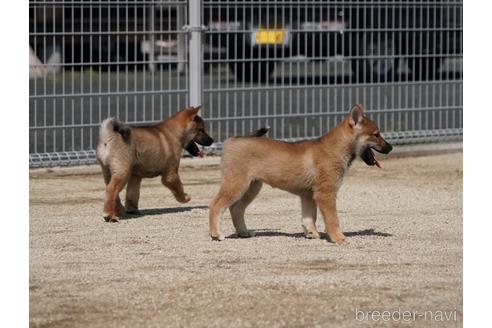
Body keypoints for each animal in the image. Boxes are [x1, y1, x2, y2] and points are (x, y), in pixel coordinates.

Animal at [208, 104, 392, 245]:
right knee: (216, 205)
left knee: (236, 209)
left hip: (251, 188)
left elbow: (309, 217)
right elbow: (332, 220)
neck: (335, 149)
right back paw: (215, 234)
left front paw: (312, 234)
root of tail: (231, 140)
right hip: (237, 185)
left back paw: (243, 232)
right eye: (376, 134)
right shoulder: (325, 194)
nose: (390, 148)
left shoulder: (309, 195)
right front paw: (338, 238)